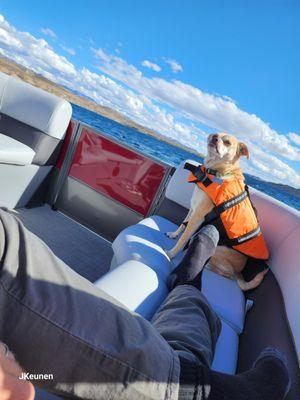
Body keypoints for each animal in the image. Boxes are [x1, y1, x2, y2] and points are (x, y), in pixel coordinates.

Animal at [165, 132, 270, 290]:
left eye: (227, 142)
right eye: (213, 135)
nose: (214, 137)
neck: (214, 170)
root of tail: (239, 271)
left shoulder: (198, 216)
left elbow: (183, 238)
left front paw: (171, 253)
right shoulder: (193, 208)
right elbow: (183, 225)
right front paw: (173, 234)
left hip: (218, 250)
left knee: (225, 273)